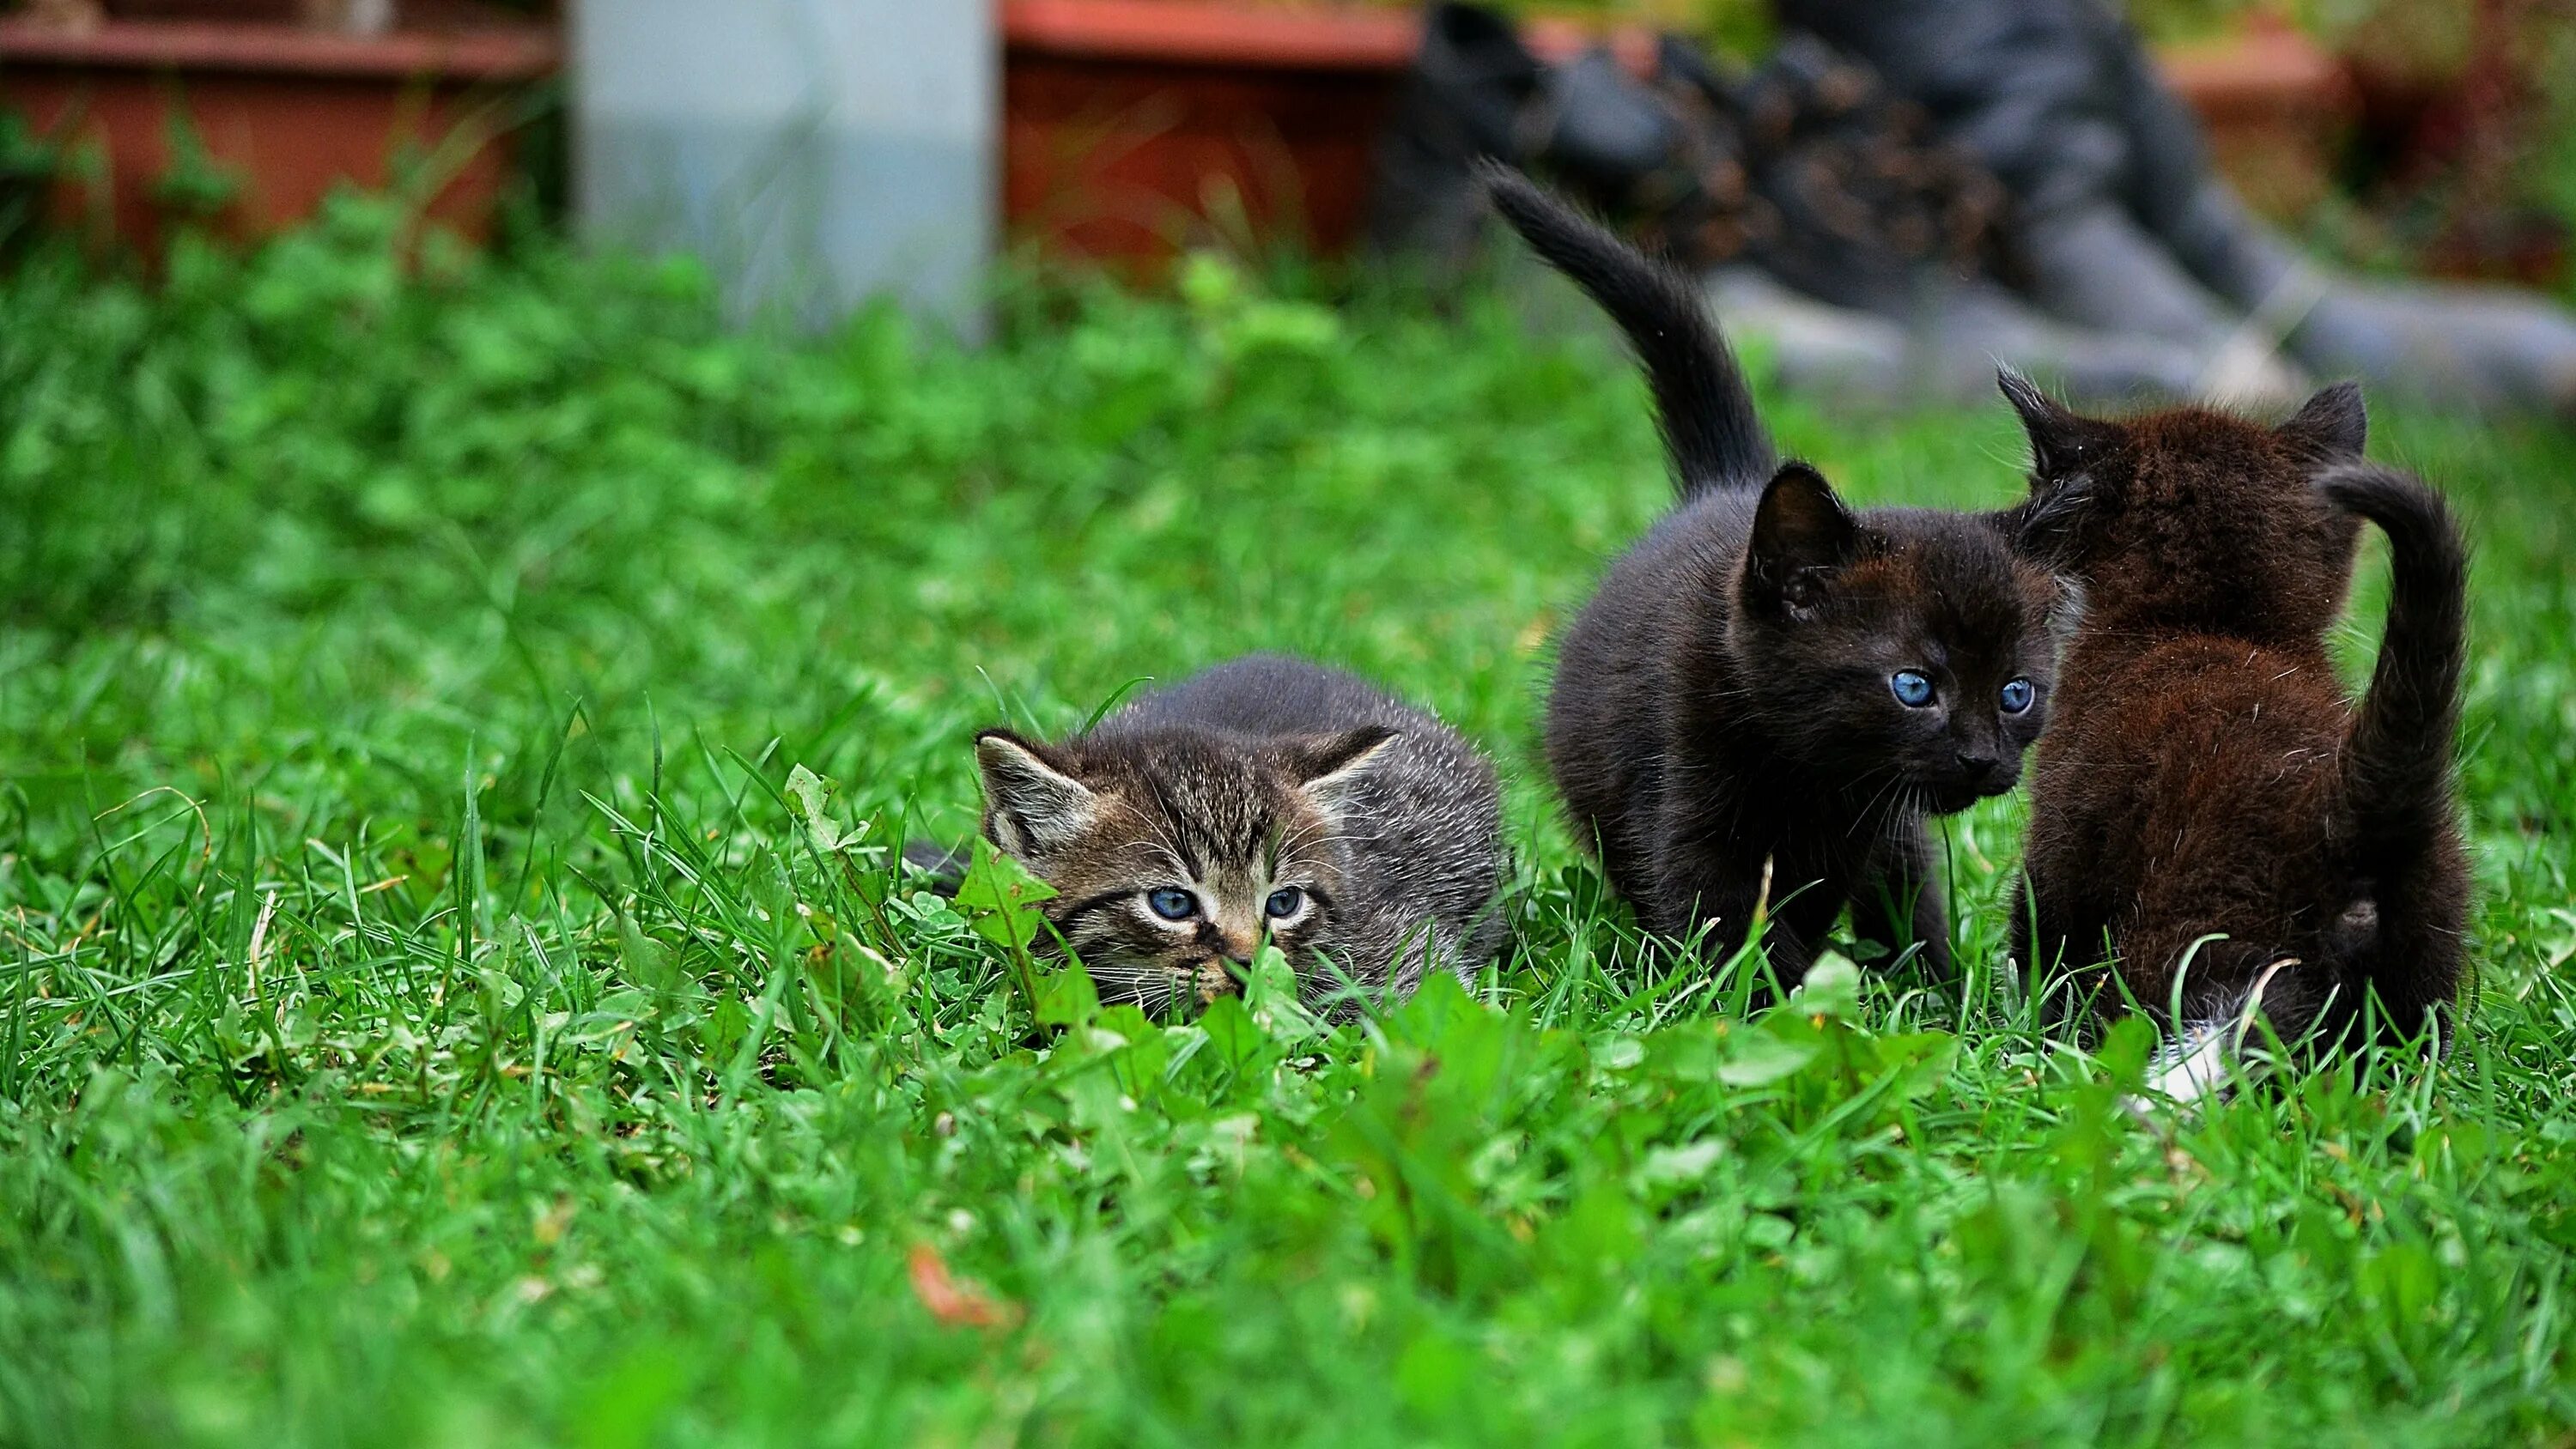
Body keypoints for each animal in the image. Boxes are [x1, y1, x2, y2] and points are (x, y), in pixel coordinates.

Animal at [1484, 167, 2061, 988]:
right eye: (1914, 687)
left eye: (2018, 694)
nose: (1983, 758)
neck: (1820, 781)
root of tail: (1730, 483)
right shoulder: (1689, 796)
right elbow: (1725, 924)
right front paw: (1766, 1005)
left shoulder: (1870, 827)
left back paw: (1935, 986)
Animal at [1989, 378, 2473, 1101]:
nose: (2013, 520)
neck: (2210, 624)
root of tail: (2356, 818)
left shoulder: (2063, 840)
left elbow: (2043, 948)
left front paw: (2028, 1038)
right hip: (2422, 971)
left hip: (2204, 938)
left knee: (2229, 1039)